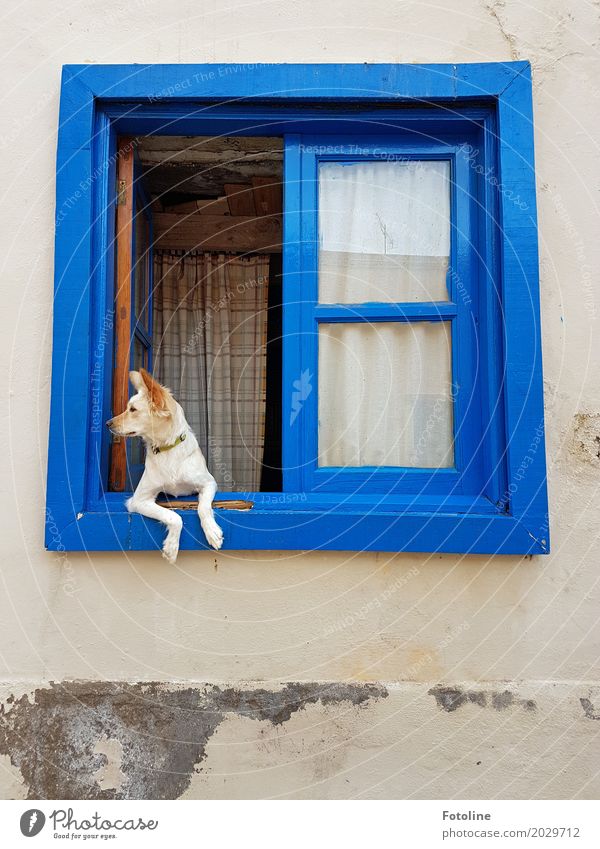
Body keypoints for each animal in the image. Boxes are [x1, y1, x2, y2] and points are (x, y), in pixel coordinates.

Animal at [105, 368, 223, 560]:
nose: (107, 423)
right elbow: (174, 516)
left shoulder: (209, 483)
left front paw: (212, 531)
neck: (167, 449)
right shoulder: (138, 500)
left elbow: (203, 507)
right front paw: (171, 546)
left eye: (133, 409)